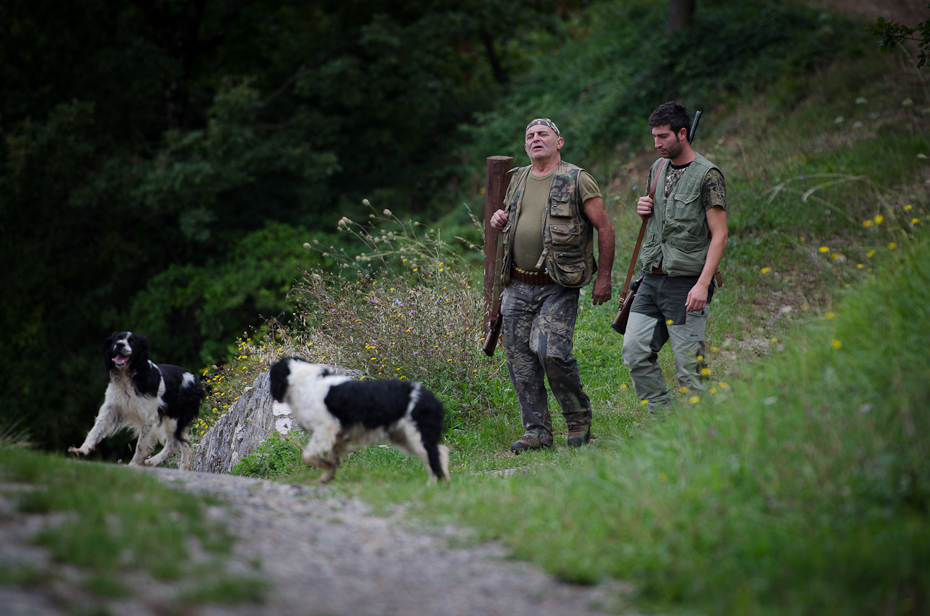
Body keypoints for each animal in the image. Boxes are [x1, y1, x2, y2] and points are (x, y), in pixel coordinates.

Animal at [69, 334, 205, 470]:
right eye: (117, 339)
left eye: (132, 342)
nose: (119, 344)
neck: (127, 377)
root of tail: (195, 379)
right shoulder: (111, 409)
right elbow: (95, 430)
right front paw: (81, 450)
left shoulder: (148, 418)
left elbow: (141, 445)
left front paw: (134, 464)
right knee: (181, 441)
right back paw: (171, 465)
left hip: (174, 419)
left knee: (175, 442)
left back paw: (162, 463)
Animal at [268, 358, 450, 484]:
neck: (306, 381)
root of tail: (431, 397)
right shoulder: (338, 437)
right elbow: (332, 460)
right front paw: (325, 478)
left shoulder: (326, 428)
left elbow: (308, 455)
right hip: (404, 438)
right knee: (440, 453)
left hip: (416, 435)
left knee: (434, 456)